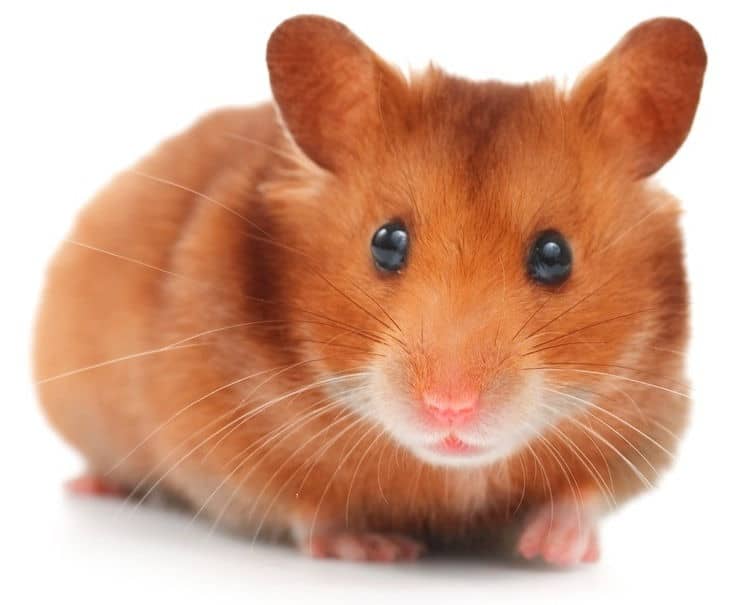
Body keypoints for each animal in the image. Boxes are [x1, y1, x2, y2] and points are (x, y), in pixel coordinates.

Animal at [33, 15, 706, 565]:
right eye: (386, 242)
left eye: (554, 255)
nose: (450, 408)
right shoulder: (223, 444)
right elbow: (309, 508)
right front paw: (381, 547)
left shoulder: (651, 423)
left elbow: (586, 494)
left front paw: (555, 550)